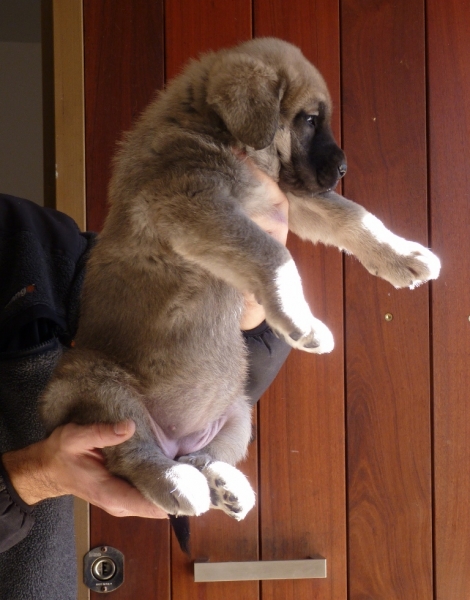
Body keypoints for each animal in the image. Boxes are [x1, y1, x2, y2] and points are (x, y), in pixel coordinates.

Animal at [40, 38, 440, 528]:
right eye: (309, 120)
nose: (345, 169)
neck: (213, 129)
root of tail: (174, 437)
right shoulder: (194, 200)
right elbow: (276, 254)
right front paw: (300, 319)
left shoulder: (292, 197)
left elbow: (353, 217)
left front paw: (403, 255)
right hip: (89, 381)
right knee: (132, 450)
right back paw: (176, 482)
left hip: (238, 413)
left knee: (202, 453)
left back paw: (224, 484)